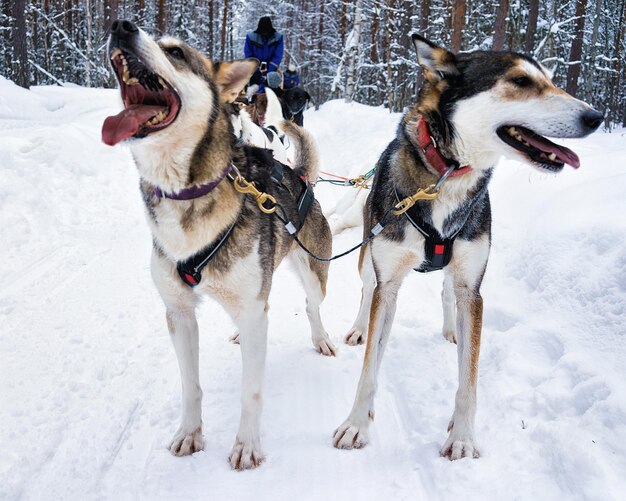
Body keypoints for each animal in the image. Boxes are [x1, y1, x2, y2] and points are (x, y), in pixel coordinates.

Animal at [102, 20, 336, 468]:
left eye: (176, 52)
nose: (121, 26)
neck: (189, 196)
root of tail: (301, 179)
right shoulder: (179, 314)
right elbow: (190, 385)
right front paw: (190, 433)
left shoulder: (252, 307)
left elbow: (252, 392)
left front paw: (246, 445)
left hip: (313, 274)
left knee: (312, 306)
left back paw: (321, 338)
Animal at [332, 34, 600, 458]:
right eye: (521, 81)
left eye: (551, 80)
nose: (596, 117)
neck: (448, 175)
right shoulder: (389, 281)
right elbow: (370, 366)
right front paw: (357, 424)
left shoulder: (473, 288)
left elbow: (468, 377)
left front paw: (462, 436)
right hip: (368, 258)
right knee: (366, 289)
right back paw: (359, 327)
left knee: (446, 293)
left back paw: (451, 328)